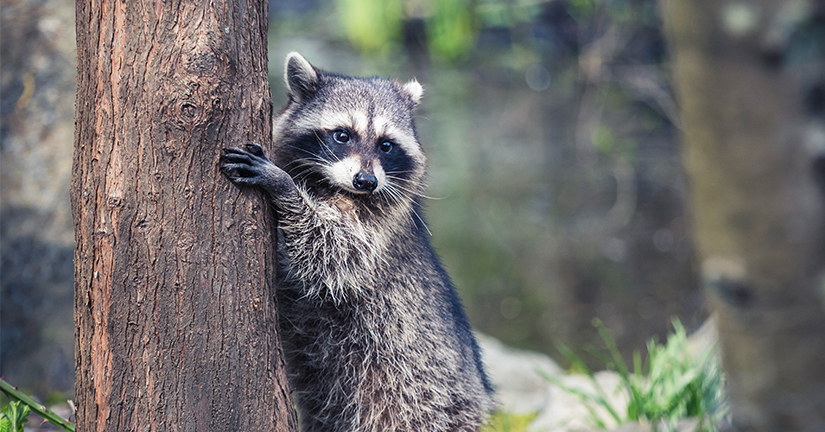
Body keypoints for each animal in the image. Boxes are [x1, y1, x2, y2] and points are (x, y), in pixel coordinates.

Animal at [219, 52, 492, 430]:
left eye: (386, 145)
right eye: (343, 135)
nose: (366, 181)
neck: (330, 185)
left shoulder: (378, 231)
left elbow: (330, 253)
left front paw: (284, 186)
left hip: (417, 406)